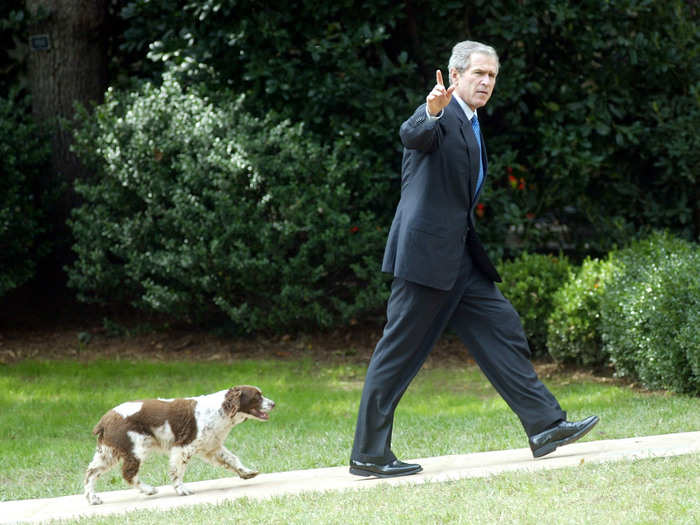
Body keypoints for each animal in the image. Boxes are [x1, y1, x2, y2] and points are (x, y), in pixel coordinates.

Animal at [83, 384, 274, 504]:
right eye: (257, 397)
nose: (273, 403)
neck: (221, 411)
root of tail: (105, 419)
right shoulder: (183, 447)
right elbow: (178, 471)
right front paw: (181, 490)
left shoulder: (211, 447)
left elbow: (232, 459)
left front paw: (247, 473)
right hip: (136, 447)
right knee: (128, 473)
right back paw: (149, 489)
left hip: (109, 452)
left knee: (91, 472)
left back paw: (93, 499)